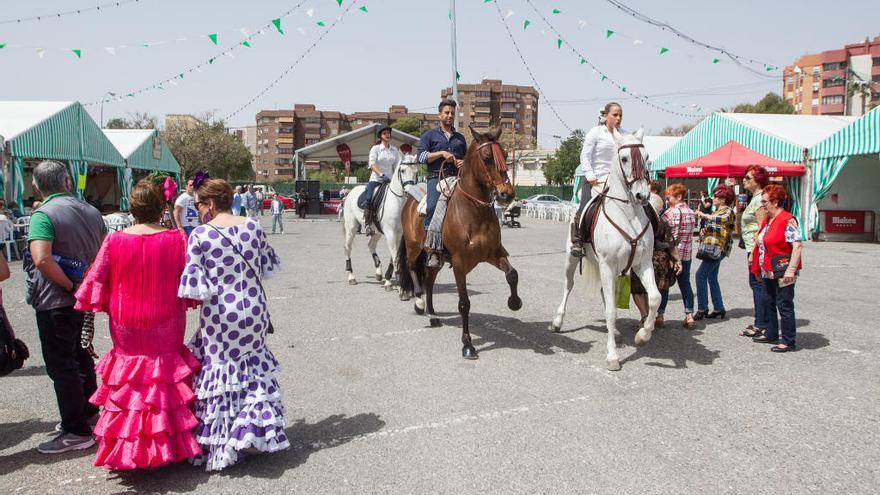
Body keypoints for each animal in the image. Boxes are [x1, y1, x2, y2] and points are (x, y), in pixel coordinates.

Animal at [342, 157, 418, 292]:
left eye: (416, 171)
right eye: (402, 170)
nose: (410, 192)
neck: (397, 201)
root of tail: (351, 191)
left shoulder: (400, 234)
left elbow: (395, 256)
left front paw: (388, 279)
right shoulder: (391, 233)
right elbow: (395, 256)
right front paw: (397, 284)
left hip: (376, 231)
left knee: (371, 245)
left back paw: (378, 272)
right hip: (351, 227)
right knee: (348, 247)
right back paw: (351, 277)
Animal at [400, 127, 524, 360]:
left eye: (505, 154)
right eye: (487, 158)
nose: (506, 194)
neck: (474, 210)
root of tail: (409, 202)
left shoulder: (494, 253)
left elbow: (512, 274)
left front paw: (514, 303)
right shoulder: (459, 262)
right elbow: (464, 303)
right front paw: (467, 344)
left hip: (436, 260)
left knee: (429, 281)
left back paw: (433, 316)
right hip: (413, 248)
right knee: (413, 271)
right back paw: (420, 303)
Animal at [552, 130, 660, 370]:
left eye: (647, 157)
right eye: (624, 158)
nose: (642, 196)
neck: (628, 214)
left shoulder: (642, 264)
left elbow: (655, 299)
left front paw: (643, 336)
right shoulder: (608, 265)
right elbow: (611, 311)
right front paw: (612, 356)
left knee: (604, 292)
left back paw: (617, 332)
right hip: (572, 260)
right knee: (568, 286)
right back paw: (557, 321)